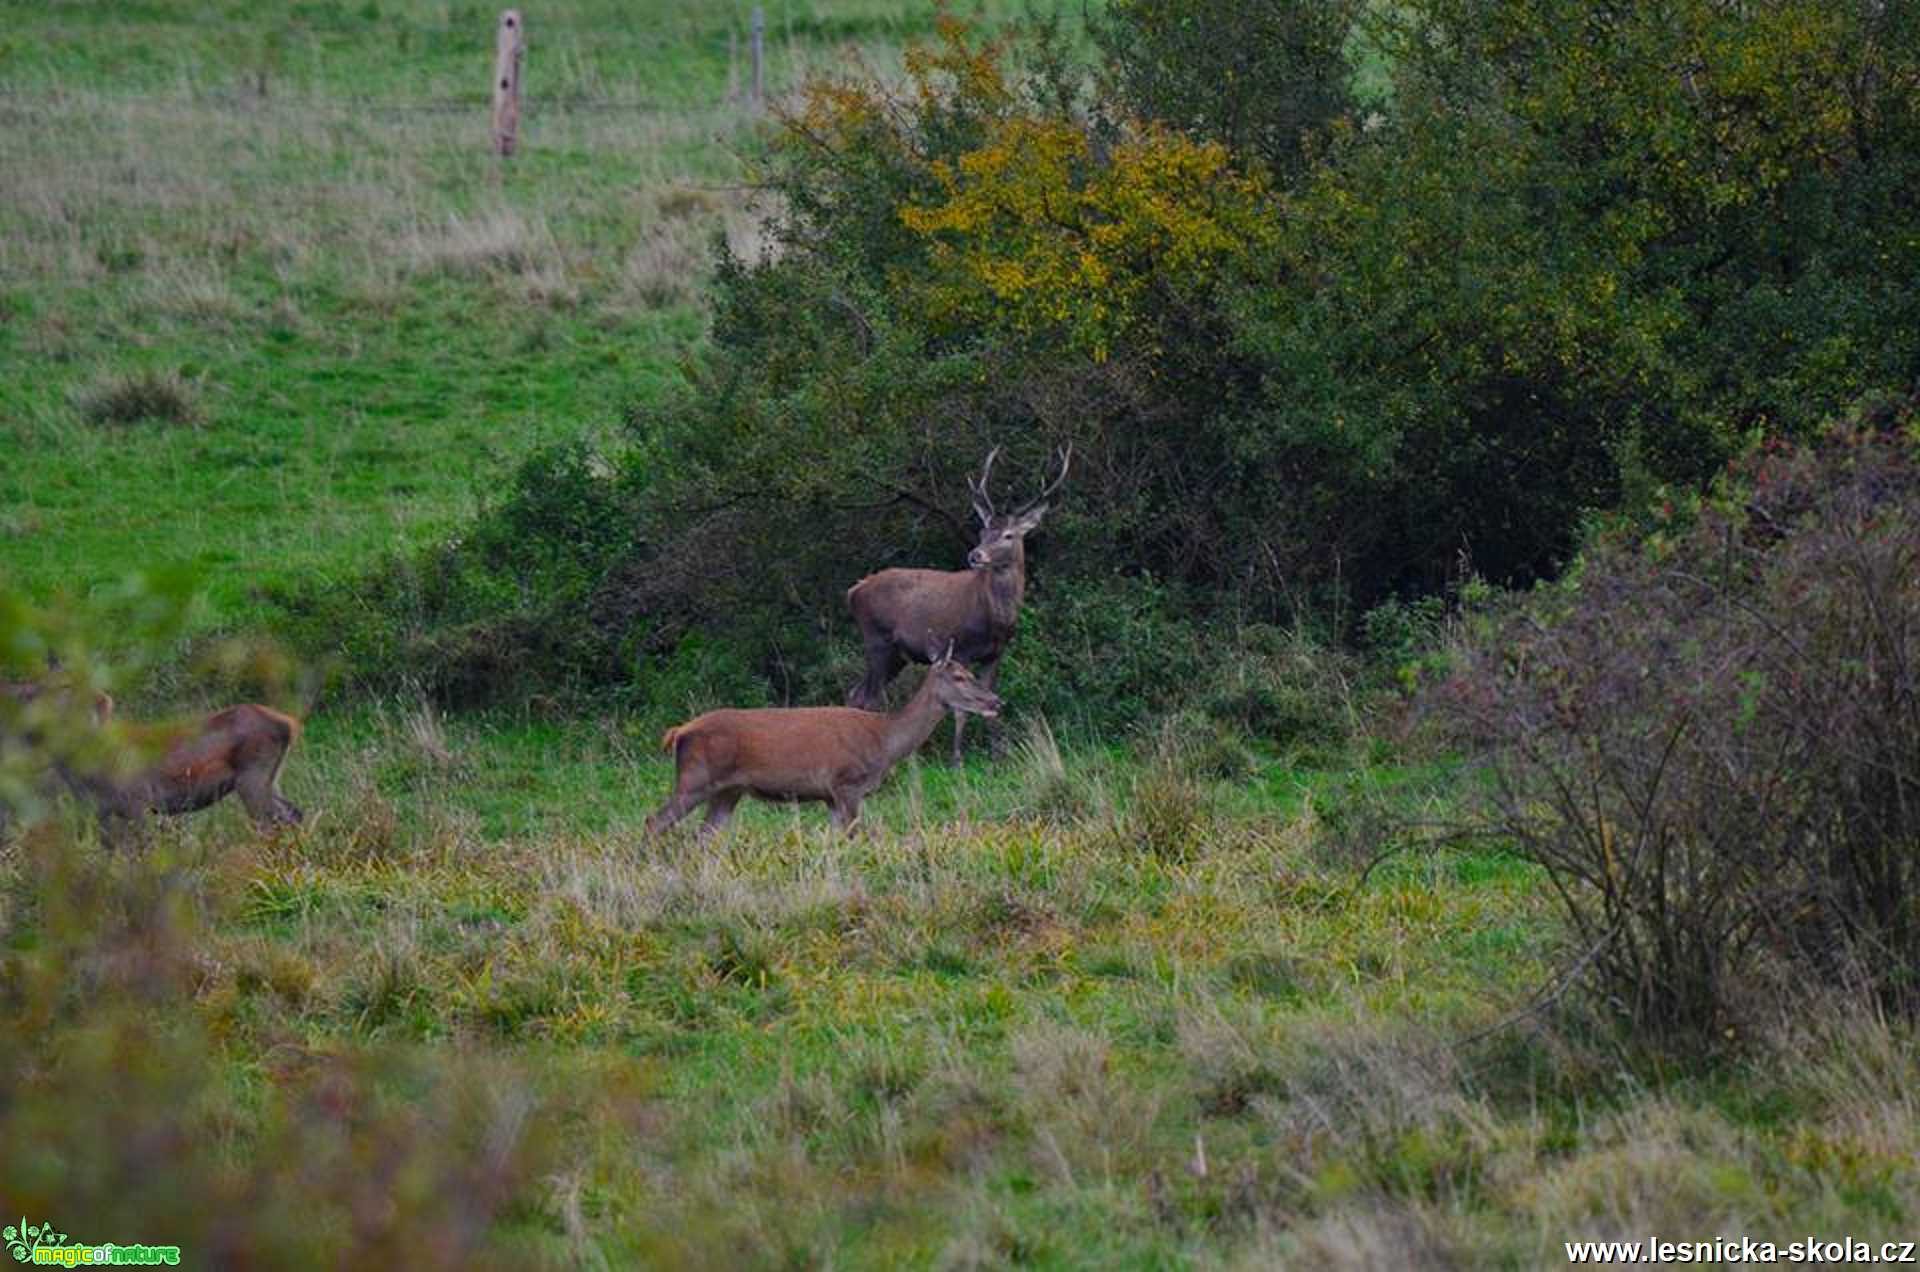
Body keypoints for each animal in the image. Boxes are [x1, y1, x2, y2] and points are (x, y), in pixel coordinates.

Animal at [648, 649, 1006, 837]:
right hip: (695, 779)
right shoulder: (847, 783)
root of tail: (679, 732)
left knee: (705, 834)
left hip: (727, 791)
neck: (885, 742)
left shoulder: (830, 796)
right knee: (654, 821)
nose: (995, 701)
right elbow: (855, 836)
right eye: (959, 676)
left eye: (970, 672)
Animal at [848, 445, 1075, 768]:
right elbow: (961, 707)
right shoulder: (962, 648)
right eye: (982, 531)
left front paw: (999, 754)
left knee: (857, 692)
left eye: (1008, 535)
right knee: (869, 696)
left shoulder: (996, 653)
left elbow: (990, 698)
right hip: (877, 640)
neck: (995, 617)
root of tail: (854, 591)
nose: (975, 555)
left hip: (896, 655)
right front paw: (956, 759)